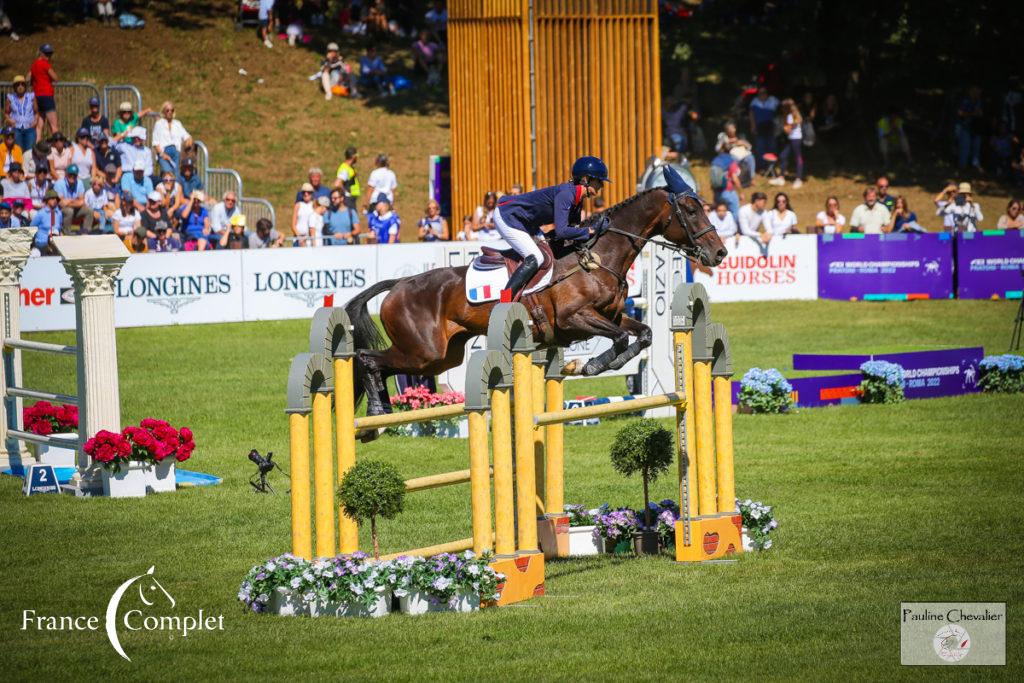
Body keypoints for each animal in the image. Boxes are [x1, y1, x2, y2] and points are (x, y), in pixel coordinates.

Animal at [344, 181, 729, 417]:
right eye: (691, 212)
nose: (720, 253)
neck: (599, 255)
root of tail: (398, 285)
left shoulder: (611, 315)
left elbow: (643, 334)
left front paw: (597, 363)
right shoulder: (575, 319)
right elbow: (620, 338)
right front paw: (591, 365)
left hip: (438, 358)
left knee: (382, 364)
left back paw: (381, 410)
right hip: (423, 351)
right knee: (367, 358)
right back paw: (376, 410)